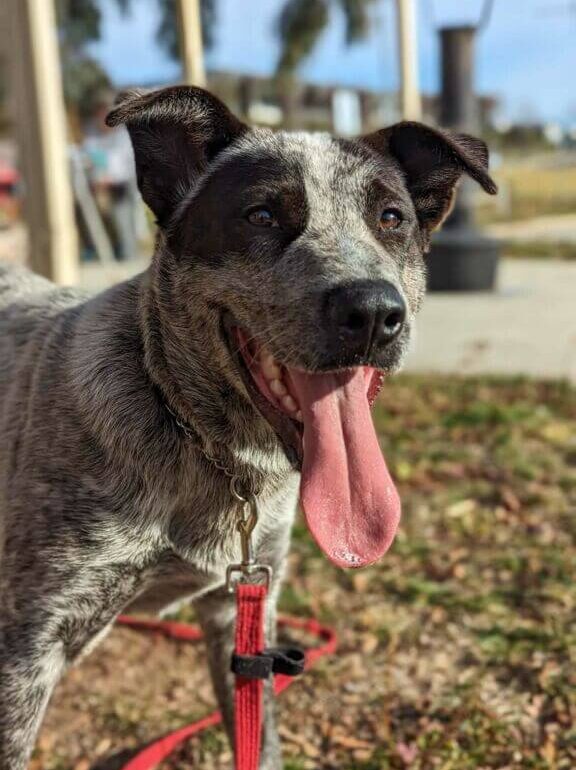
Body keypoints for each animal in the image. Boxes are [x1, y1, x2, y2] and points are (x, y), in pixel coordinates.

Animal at [0, 87, 496, 764]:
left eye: (391, 218)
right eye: (261, 215)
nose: (372, 311)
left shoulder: (245, 614)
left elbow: (257, 742)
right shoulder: (28, 650)